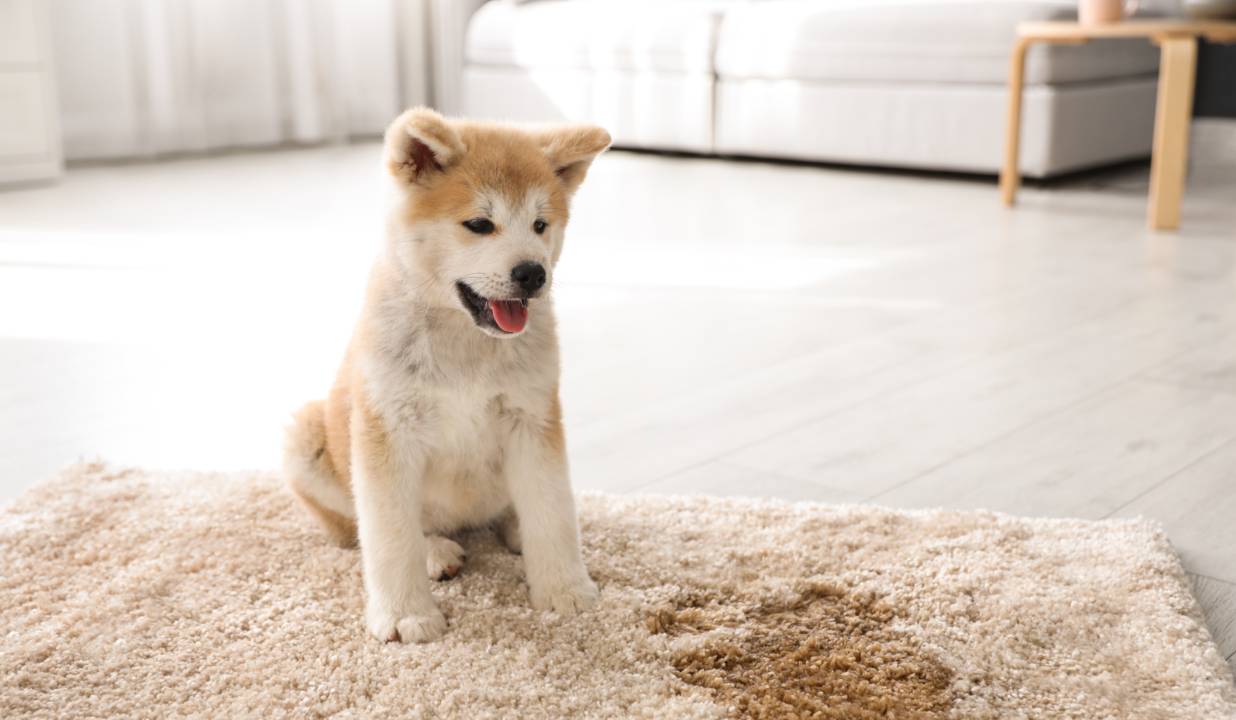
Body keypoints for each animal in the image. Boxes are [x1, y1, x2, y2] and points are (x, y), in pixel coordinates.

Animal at [280, 105, 608, 642]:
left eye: (540, 224)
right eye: (480, 224)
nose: (532, 273)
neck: (465, 343)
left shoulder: (532, 417)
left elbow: (552, 510)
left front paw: (564, 589)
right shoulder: (387, 428)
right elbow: (389, 534)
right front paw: (404, 615)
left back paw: (514, 528)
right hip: (306, 434)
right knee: (365, 528)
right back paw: (434, 550)